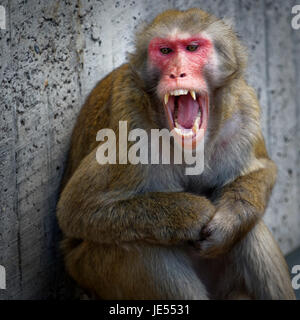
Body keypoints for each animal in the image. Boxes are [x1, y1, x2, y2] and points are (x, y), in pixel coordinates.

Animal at [56, 9, 296, 300]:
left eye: (192, 48)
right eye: (165, 50)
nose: (176, 73)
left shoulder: (244, 108)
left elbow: (263, 169)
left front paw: (228, 221)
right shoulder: (128, 133)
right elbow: (76, 209)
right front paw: (195, 213)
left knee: (251, 230)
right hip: (88, 269)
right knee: (143, 247)